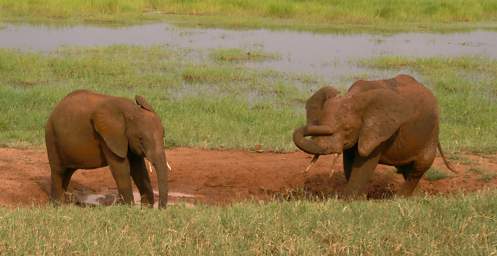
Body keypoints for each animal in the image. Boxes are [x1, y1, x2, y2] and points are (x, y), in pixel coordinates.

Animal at [294, 74, 454, 198]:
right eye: (319, 121)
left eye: (347, 129)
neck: (354, 96)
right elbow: (350, 161)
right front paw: (360, 197)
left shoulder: (380, 132)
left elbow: (364, 163)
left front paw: (347, 199)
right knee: (405, 168)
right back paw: (416, 196)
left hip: (431, 132)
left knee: (419, 167)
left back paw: (400, 197)